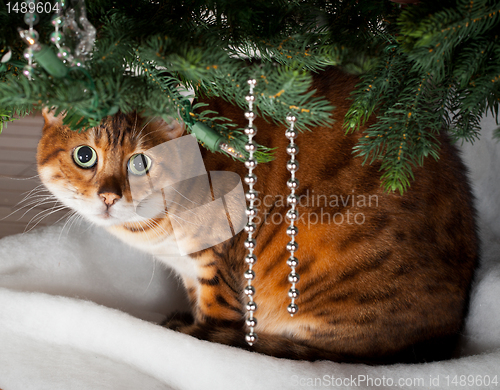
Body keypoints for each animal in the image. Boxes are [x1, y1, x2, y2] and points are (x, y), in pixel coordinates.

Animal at [36, 66, 476, 362]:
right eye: (84, 155)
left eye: (140, 162)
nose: (109, 197)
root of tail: (445, 337)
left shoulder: (220, 264)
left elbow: (216, 318)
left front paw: (193, 335)